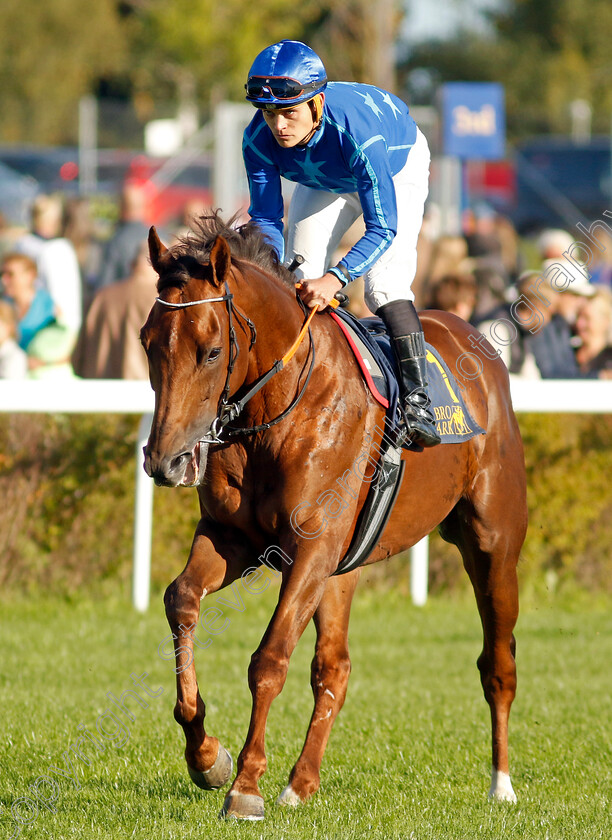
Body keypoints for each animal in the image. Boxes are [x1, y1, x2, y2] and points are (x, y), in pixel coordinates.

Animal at [140, 215, 524, 820]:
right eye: (146, 342)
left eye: (211, 350)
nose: (165, 461)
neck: (277, 409)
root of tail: (478, 343)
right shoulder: (233, 539)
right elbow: (180, 599)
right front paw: (207, 757)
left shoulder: (311, 549)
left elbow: (269, 660)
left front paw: (245, 785)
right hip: (345, 568)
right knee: (334, 668)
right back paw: (301, 782)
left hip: (494, 546)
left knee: (498, 664)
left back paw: (501, 784)